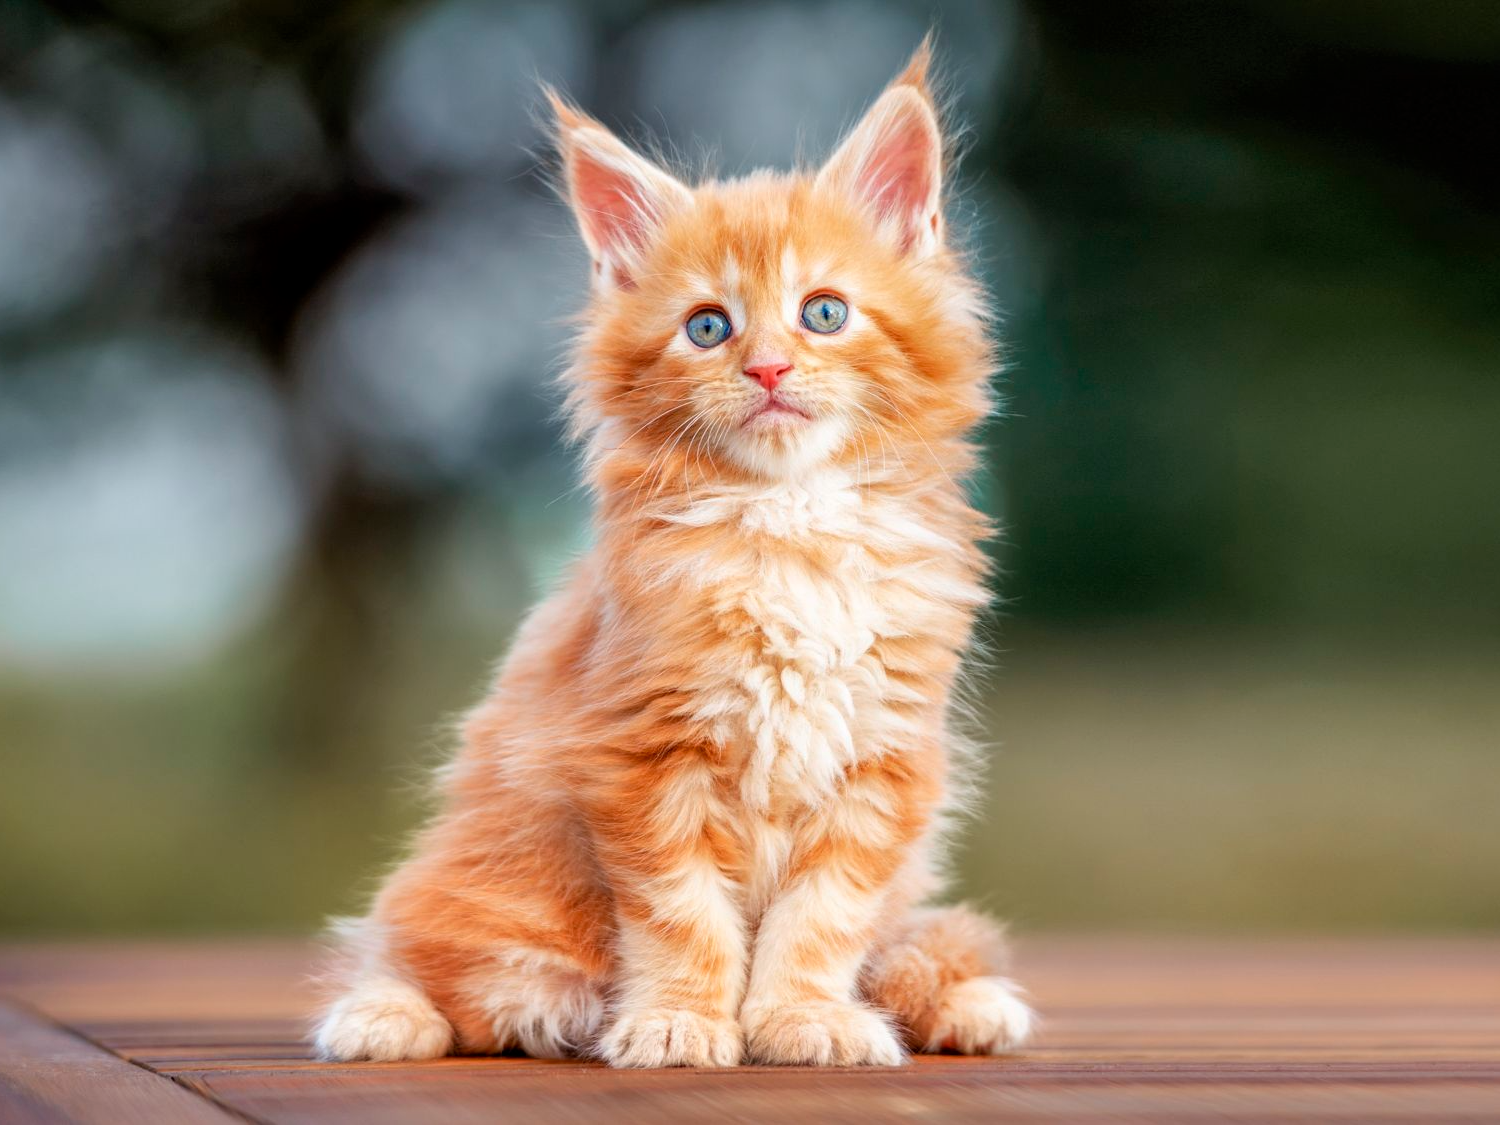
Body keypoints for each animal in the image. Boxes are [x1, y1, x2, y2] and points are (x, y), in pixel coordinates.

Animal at [315, 41, 1032, 1068]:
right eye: (707, 327)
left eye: (823, 313)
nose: (768, 368)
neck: (790, 521)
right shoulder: (643, 756)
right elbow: (683, 914)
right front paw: (681, 1020)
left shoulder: (884, 759)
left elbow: (823, 917)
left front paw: (802, 1016)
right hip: (485, 908)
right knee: (436, 971)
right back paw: (385, 1014)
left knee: (906, 945)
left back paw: (960, 1003)